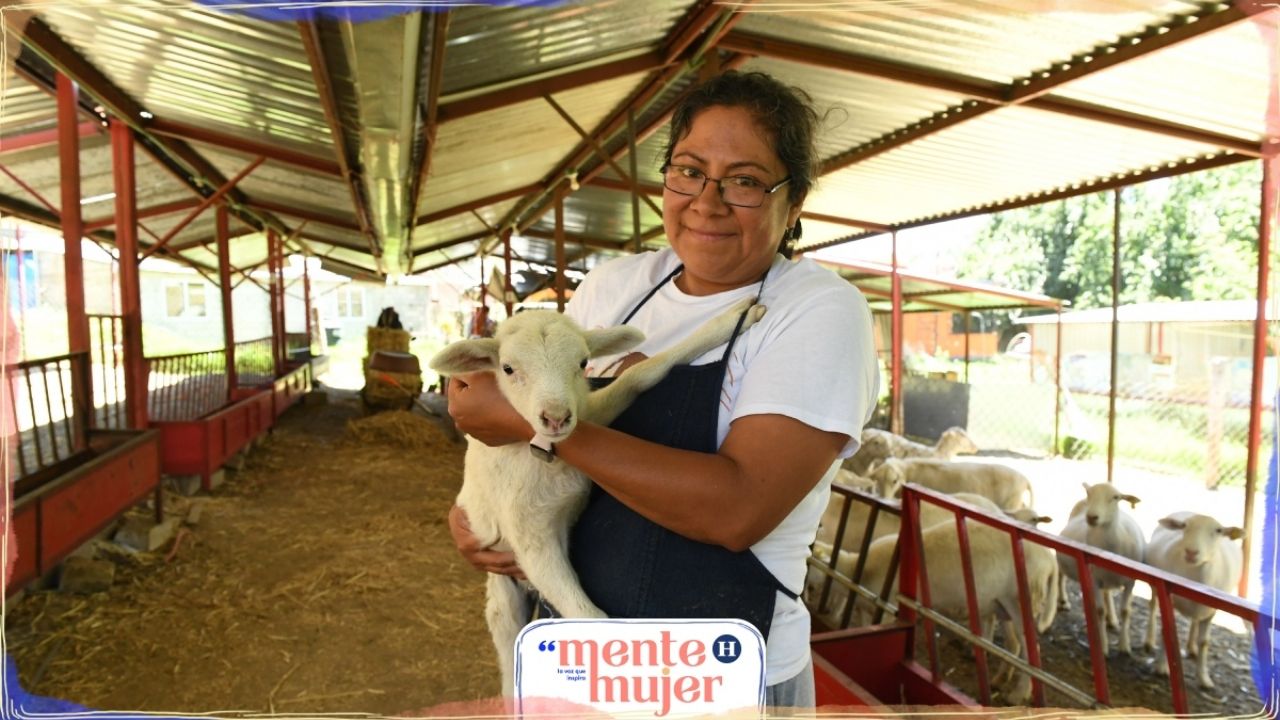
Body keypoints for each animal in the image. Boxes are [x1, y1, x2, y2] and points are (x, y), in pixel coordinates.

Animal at [430, 294, 768, 691]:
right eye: (508, 369)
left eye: (582, 363)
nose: (557, 417)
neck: (545, 458)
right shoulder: (529, 537)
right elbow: (588, 614)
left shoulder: (590, 415)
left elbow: (640, 374)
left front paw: (733, 319)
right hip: (503, 600)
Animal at [1054, 479, 1146, 653]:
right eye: (1089, 493)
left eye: (1116, 497)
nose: (1091, 517)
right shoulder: (1094, 580)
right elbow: (1099, 610)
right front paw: (1103, 645)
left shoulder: (1131, 581)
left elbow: (1126, 611)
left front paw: (1124, 645)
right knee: (1060, 575)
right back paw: (1063, 601)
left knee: (1107, 593)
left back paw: (1113, 620)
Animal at [1141, 507, 1239, 686]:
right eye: (1184, 526)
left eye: (1219, 531)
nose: (1191, 552)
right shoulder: (1169, 599)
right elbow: (1167, 632)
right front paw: (1161, 667)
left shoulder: (1211, 611)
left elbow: (1204, 642)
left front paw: (1204, 678)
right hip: (1155, 586)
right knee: (1152, 607)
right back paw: (1149, 641)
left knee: (1194, 621)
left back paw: (1192, 648)